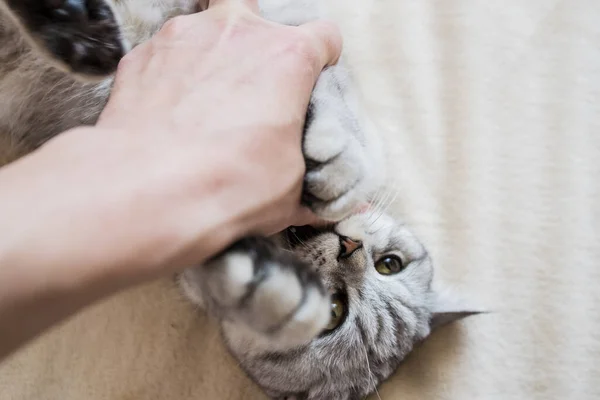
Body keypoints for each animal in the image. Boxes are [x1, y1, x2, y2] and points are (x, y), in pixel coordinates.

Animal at [0, 0, 480, 400]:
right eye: (390, 264)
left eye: (334, 312)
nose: (351, 247)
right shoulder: (298, 32)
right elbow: (338, 104)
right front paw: (342, 162)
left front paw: (262, 290)